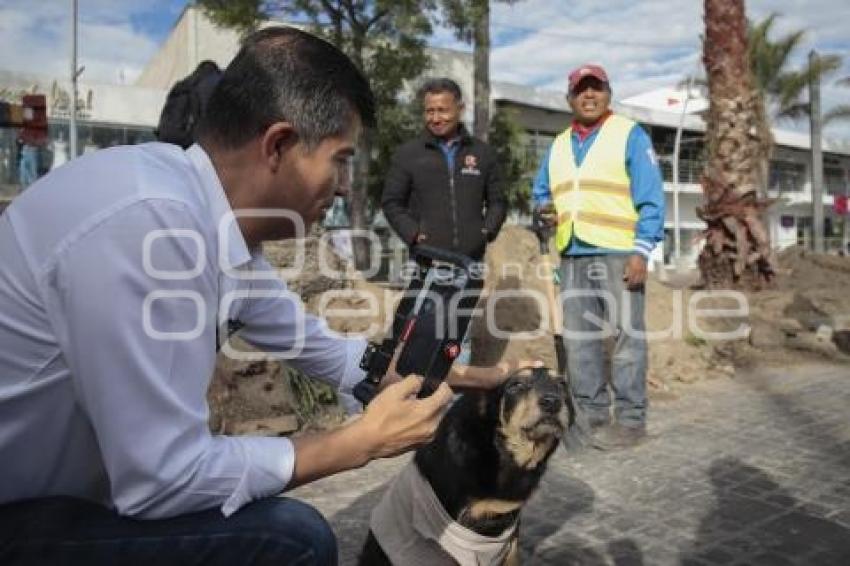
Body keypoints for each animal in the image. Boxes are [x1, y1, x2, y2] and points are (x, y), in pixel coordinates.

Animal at [358, 366, 568, 564]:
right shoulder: (462, 533)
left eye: (562, 384)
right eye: (516, 385)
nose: (552, 402)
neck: (503, 452)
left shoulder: (510, 524)